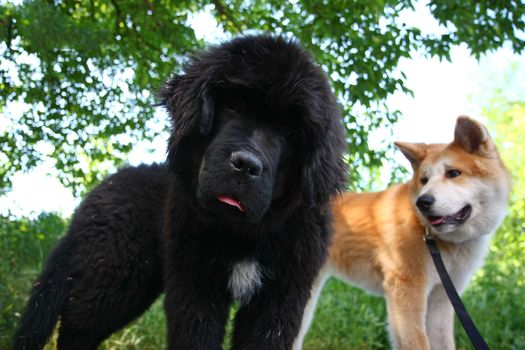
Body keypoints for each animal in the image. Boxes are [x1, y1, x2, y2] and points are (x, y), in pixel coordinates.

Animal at [14, 33, 346, 350]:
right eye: (233, 106)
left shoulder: (279, 297)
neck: (242, 233)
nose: (246, 164)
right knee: (75, 328)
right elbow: (195, 337)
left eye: (288, 134)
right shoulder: (194, 283)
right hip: (114, 276)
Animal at [296, 117, 510, 350]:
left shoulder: (442, 299)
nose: (423, 202)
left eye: (453, 173)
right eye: (424, 180)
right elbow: (417, 342)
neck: (436, 238)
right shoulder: (407, 290)